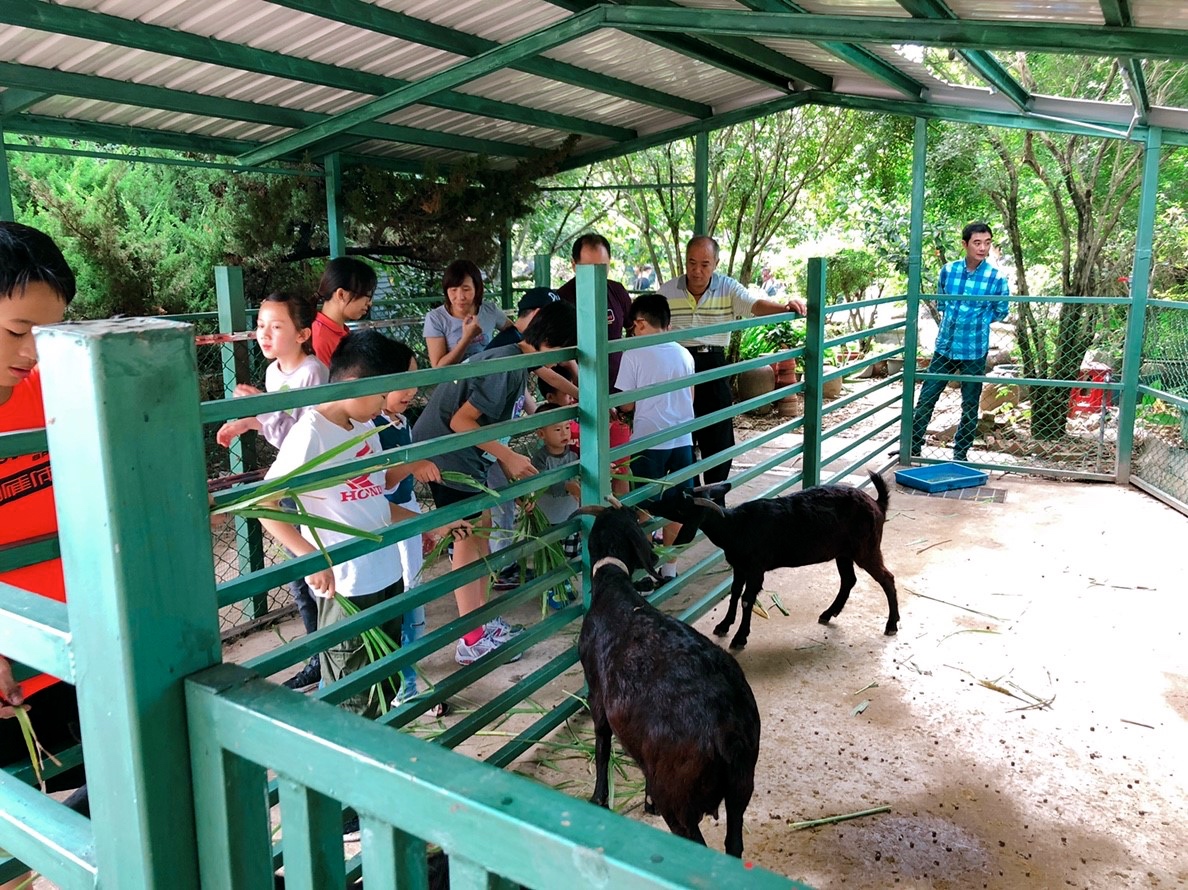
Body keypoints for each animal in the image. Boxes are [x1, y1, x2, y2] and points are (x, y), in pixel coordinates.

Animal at [577, 503, 760, 855]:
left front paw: (598, 799)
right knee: (734, 843)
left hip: (678, 799)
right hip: (741, 785)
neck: (613, 584)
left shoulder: (596, 694)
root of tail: (727, 730)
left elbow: (602, 744)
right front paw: (644, 800)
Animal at [651, 468, 898, 651]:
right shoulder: (739, 567)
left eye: (680, 505)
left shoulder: (755, 568)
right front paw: (724, 625)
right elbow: (734, 594)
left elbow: (747, 600)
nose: (649, 503)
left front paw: (740, 637)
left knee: (887, 578)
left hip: (867, 549)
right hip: (843, 553)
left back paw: (892, 624)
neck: (736, 527)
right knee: (849, 580)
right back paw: (828, 613)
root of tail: (878, 504)